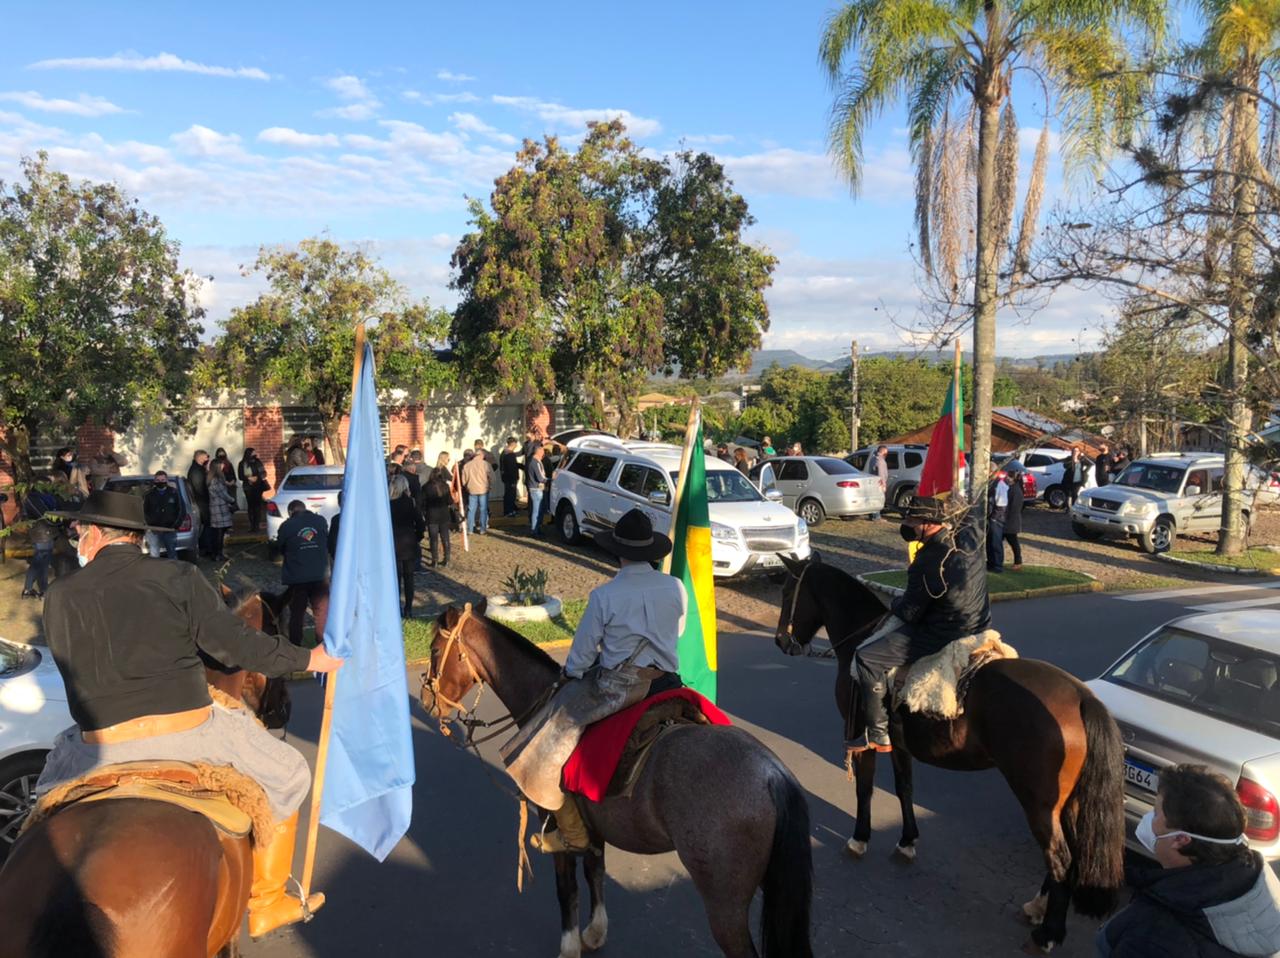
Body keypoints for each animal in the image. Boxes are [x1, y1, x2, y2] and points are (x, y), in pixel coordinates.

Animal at [421, 604, 814, 958]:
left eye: (435, 651)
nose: (427, 700)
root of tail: (771, 774)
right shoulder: (595, 828)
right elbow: (595, 874)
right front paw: (595, 933)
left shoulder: (556, 828)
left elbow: (567, 890)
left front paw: (569, 948)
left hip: (725, 909)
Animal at [772, 554, 1125, 954]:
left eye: (787, 591)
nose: (781, 640)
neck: (862, 638)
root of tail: (1081, 697)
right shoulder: (898, 744)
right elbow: (904, 788)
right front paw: (907, 841)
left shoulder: (862, 739)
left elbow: (864, 789)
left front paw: (859, 839)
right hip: (1067, 802)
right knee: (1068, 855)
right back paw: (1037, 907)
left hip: (1039, 803)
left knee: (1060, 859)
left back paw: (1048, 934)